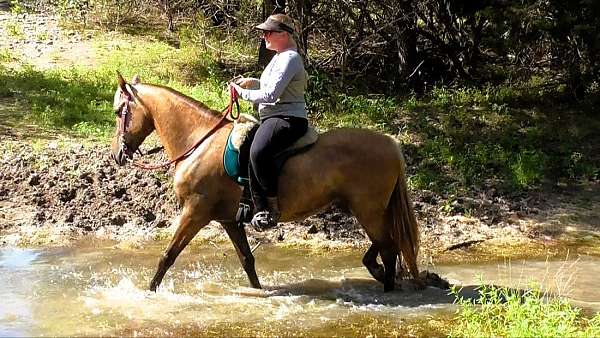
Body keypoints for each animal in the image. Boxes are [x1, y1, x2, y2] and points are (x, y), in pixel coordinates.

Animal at [110, 72, 420, 292]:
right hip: (366, 210)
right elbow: (247, 261)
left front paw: (149, 292)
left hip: (368, 211)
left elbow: (167, 256)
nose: (117, 154)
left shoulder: (195, 212)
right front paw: (259, 292)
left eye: (117, 112)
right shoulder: (229, 220)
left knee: (389, 247)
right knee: (386, 244)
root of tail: (391, 144)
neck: (199, 141)